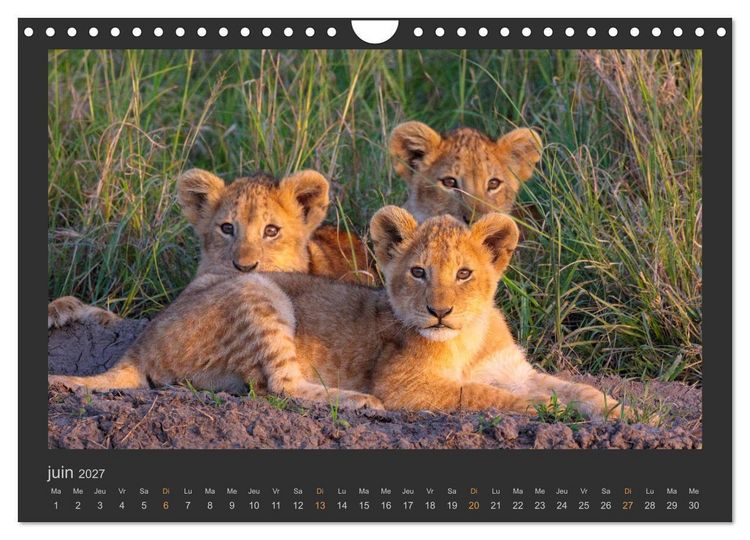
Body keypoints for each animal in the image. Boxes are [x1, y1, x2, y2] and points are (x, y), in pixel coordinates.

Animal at [49, 206, 635, 421]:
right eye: (418, 272)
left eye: (465, 273)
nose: (439, 311)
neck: (466, 338)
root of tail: (139, 343)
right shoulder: (407, 387)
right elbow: (481, 396)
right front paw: (544, 413)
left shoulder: (514, 370)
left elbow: (576, 388)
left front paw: (626, 412)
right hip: (257, 291)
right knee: (280, 387)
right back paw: (359, 402)